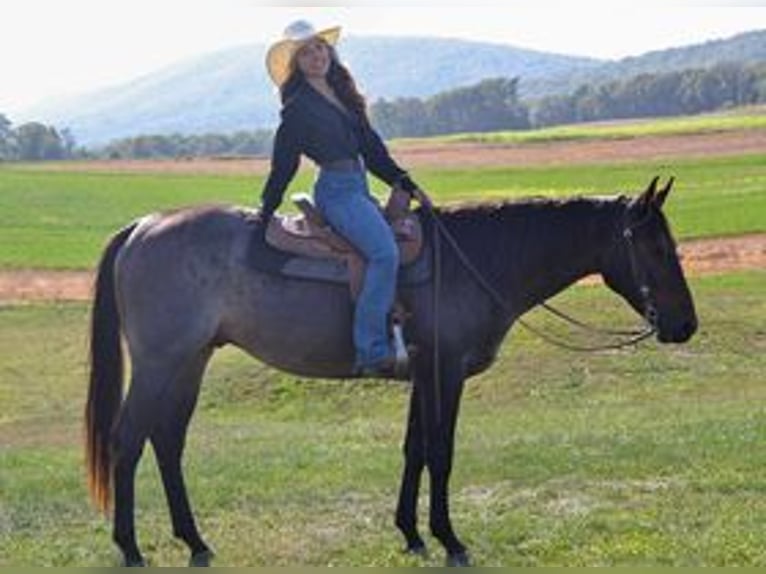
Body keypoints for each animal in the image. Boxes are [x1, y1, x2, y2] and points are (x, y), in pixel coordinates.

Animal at [85, 178, 704, 568]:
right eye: (653, 245)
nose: (684, 324)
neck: (476, 259)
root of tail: (142, 227)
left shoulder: (422, 377)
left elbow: (414, 451)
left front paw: (410, 533)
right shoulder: (445, 375)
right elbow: (441, 452)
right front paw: (449, 539)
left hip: (189, 361)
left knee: (167, 441)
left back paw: (195, 542)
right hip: (160, 363)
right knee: (127, 441)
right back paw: (131, 549)